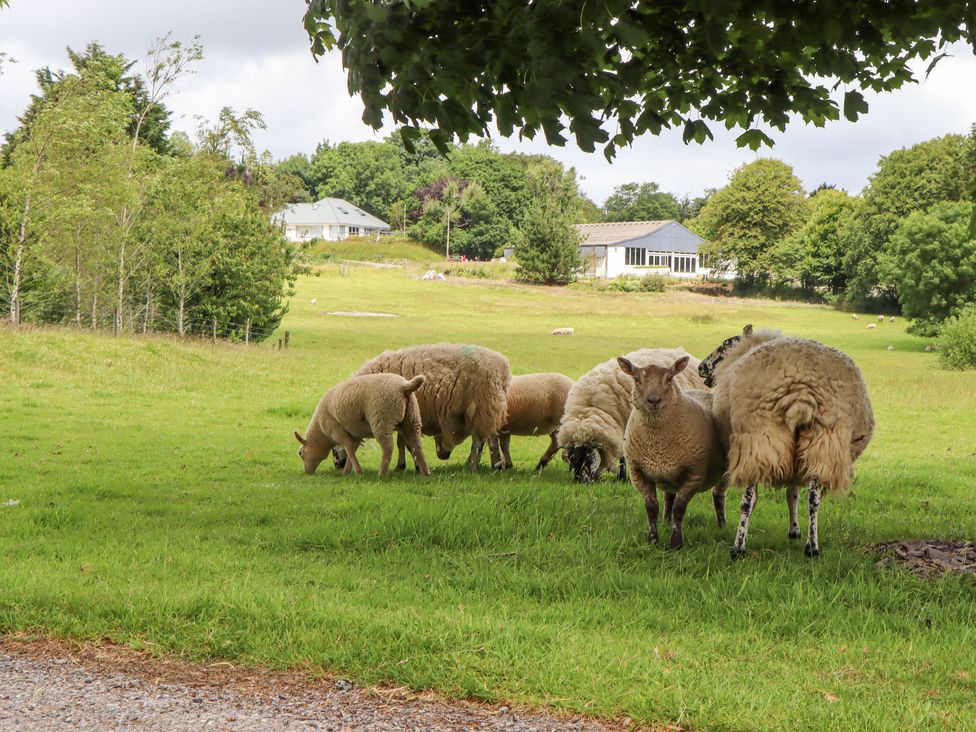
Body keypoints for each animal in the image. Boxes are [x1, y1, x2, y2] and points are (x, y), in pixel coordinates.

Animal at [290, 374, 428, 478]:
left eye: (300, 453)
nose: (307, 472)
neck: (321, 433)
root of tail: (404, 386)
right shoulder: (355, 433)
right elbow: (352, 449)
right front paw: (347, 472)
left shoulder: (335, 429)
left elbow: (349, 449)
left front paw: (358, 472)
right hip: (412, 419)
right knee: (417, 445)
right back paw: (425, 473)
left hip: (382, 420)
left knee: (388, 447)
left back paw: (381, 474)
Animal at [342, 342, 510, 472]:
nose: (339, 464)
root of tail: (503, 366)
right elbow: (402, 443)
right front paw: (402, 465)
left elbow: (408, 444)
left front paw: (413, 466)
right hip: (488, 409)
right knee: (491, 437)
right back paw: (495, 464)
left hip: (481, 408)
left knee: (479, 441)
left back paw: (473, 466)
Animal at [556, 348, 708, 484]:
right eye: (572, 458)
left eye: (588, 455)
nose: (581, 481)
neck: (592, 407)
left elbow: (624, 457)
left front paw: (622, 478)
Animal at [616, 354, 724, 548]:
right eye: (636, 379)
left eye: (669, 378)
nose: (653, 400)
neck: (657, 445)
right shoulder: (638, 473)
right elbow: (651, 508)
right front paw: (652, 540)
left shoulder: (694, 474)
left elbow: (679, 509)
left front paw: (676, 543)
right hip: (669, 477)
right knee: (669, 498)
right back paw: (666, 521)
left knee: (718, 496)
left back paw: (722, 525)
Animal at [696, 326, 872, 560]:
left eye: (726, 344)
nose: (700, 367)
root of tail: (802, 394)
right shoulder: (797, 463)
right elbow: (793, 494)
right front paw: (795, 530)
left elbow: (772, 497)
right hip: (823, 443)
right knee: (814, 499)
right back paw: (812, 547)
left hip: (760, 439)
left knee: (747, 500)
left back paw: (738, 547)